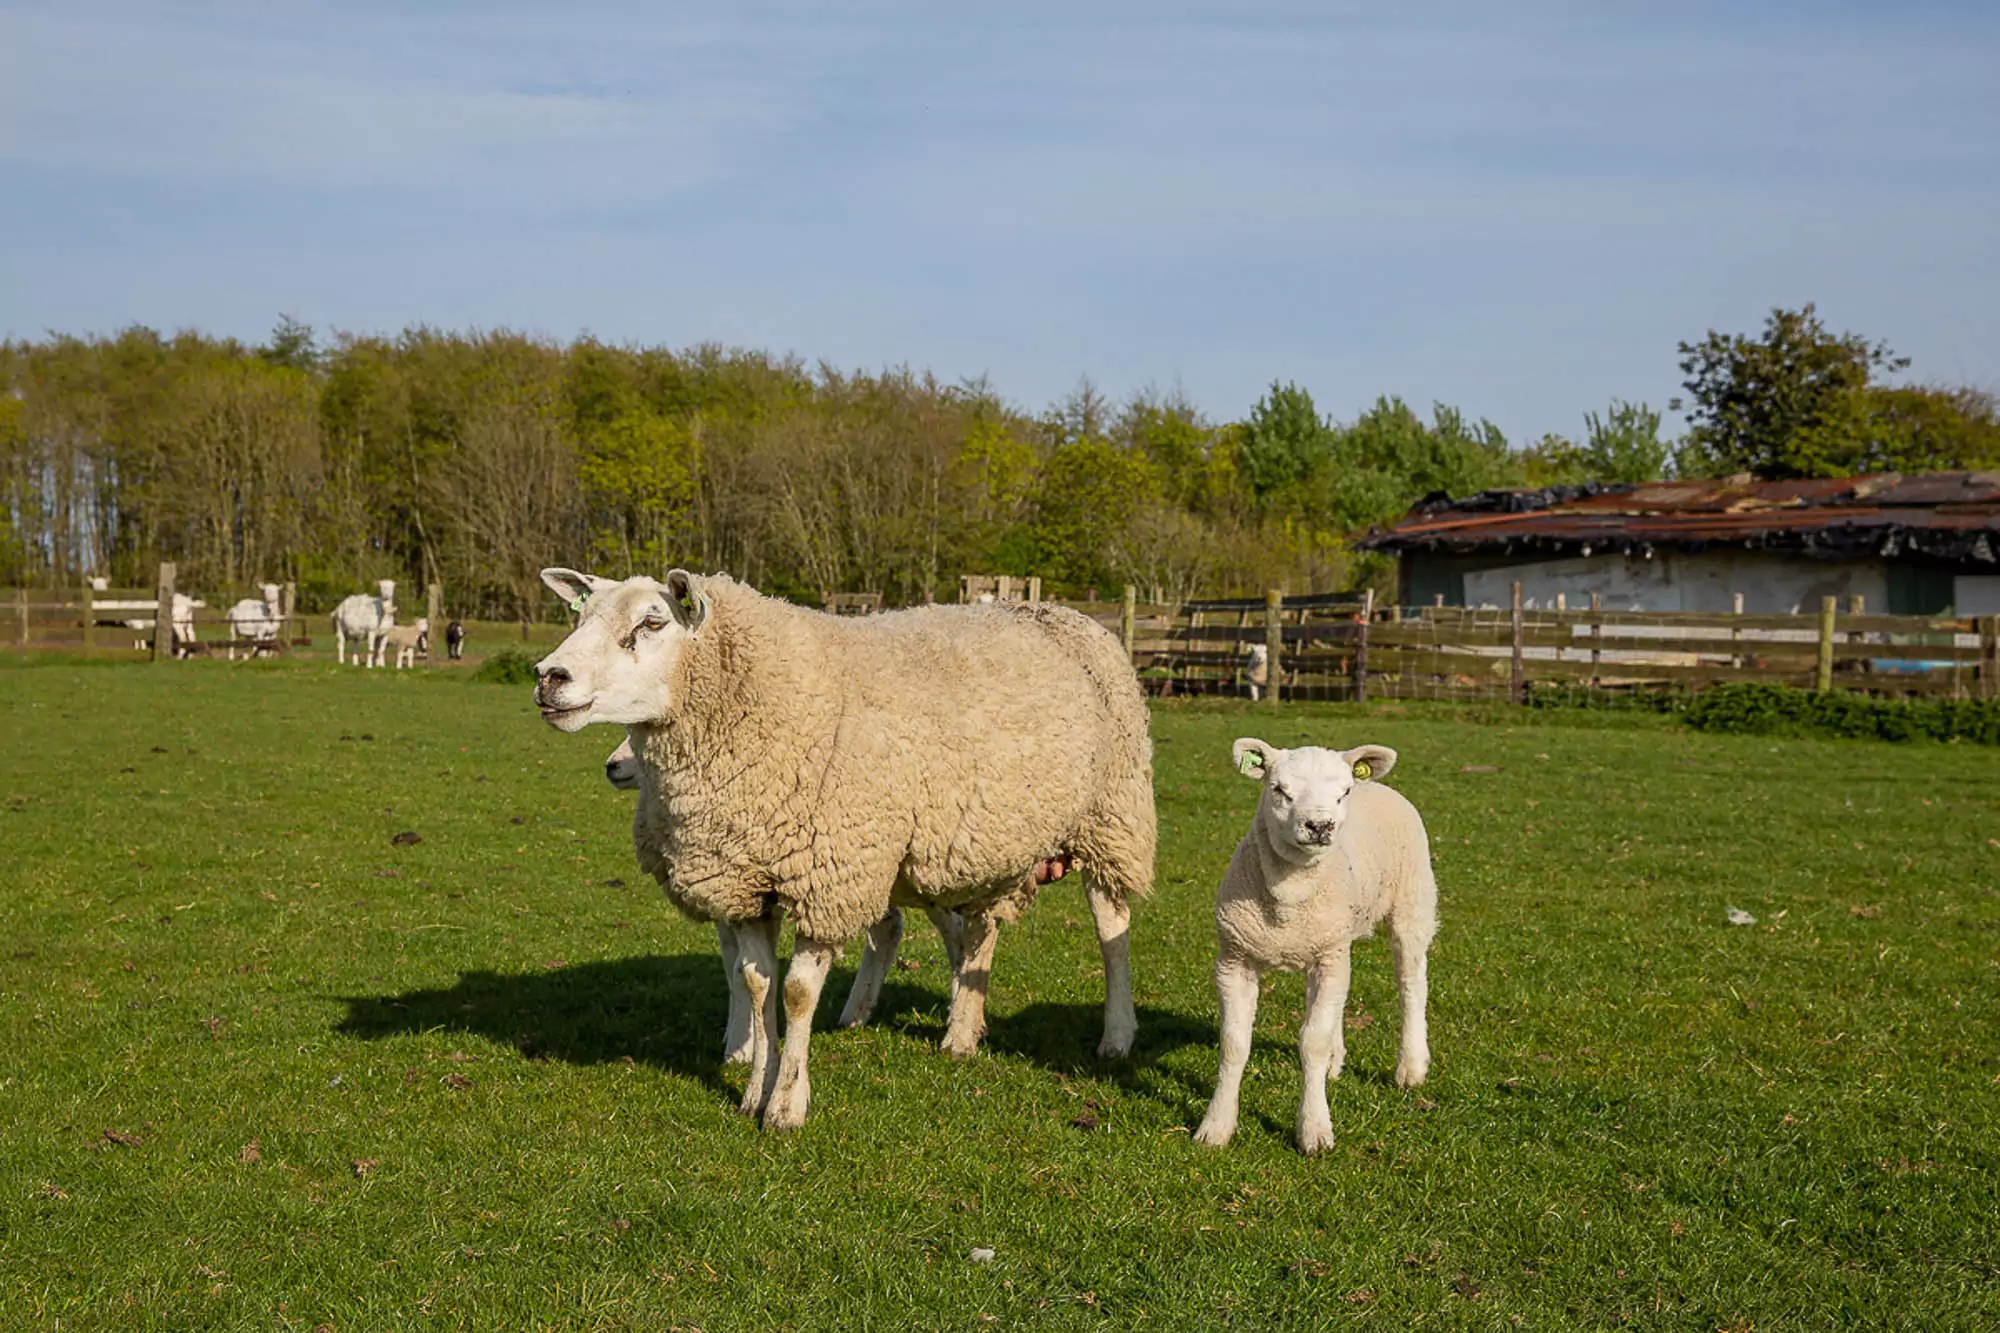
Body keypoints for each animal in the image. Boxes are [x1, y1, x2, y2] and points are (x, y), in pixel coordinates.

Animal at [536, 564, 1160, 1128]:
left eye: (652, 621)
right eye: (581, 617)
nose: (548, 676)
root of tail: (1062, 611)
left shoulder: (830, 876)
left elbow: (795, 993)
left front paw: (787, 1105)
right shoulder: (744, 882)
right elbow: (756, 984)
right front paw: (753, 1091)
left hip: (1113, 815)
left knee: (1112, 927)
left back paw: (1116, 1035)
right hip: (985, 842)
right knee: (981, 931)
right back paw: (961, 1031)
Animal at [1184, 736, 1440, 1152]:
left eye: (1343, 792)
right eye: (1279, 790)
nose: (1319, 825)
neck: (1289, 899)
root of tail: (1378, 786)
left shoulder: (1327, 957)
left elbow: (1312, 1043)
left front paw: (1314, 1130)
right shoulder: (1235, 960)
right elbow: (1235, 1044)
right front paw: (1216, 1125)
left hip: (1411, 903)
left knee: (1411, 987)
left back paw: (1411, 1067)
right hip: (1331, 940)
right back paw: (1338, 1061)